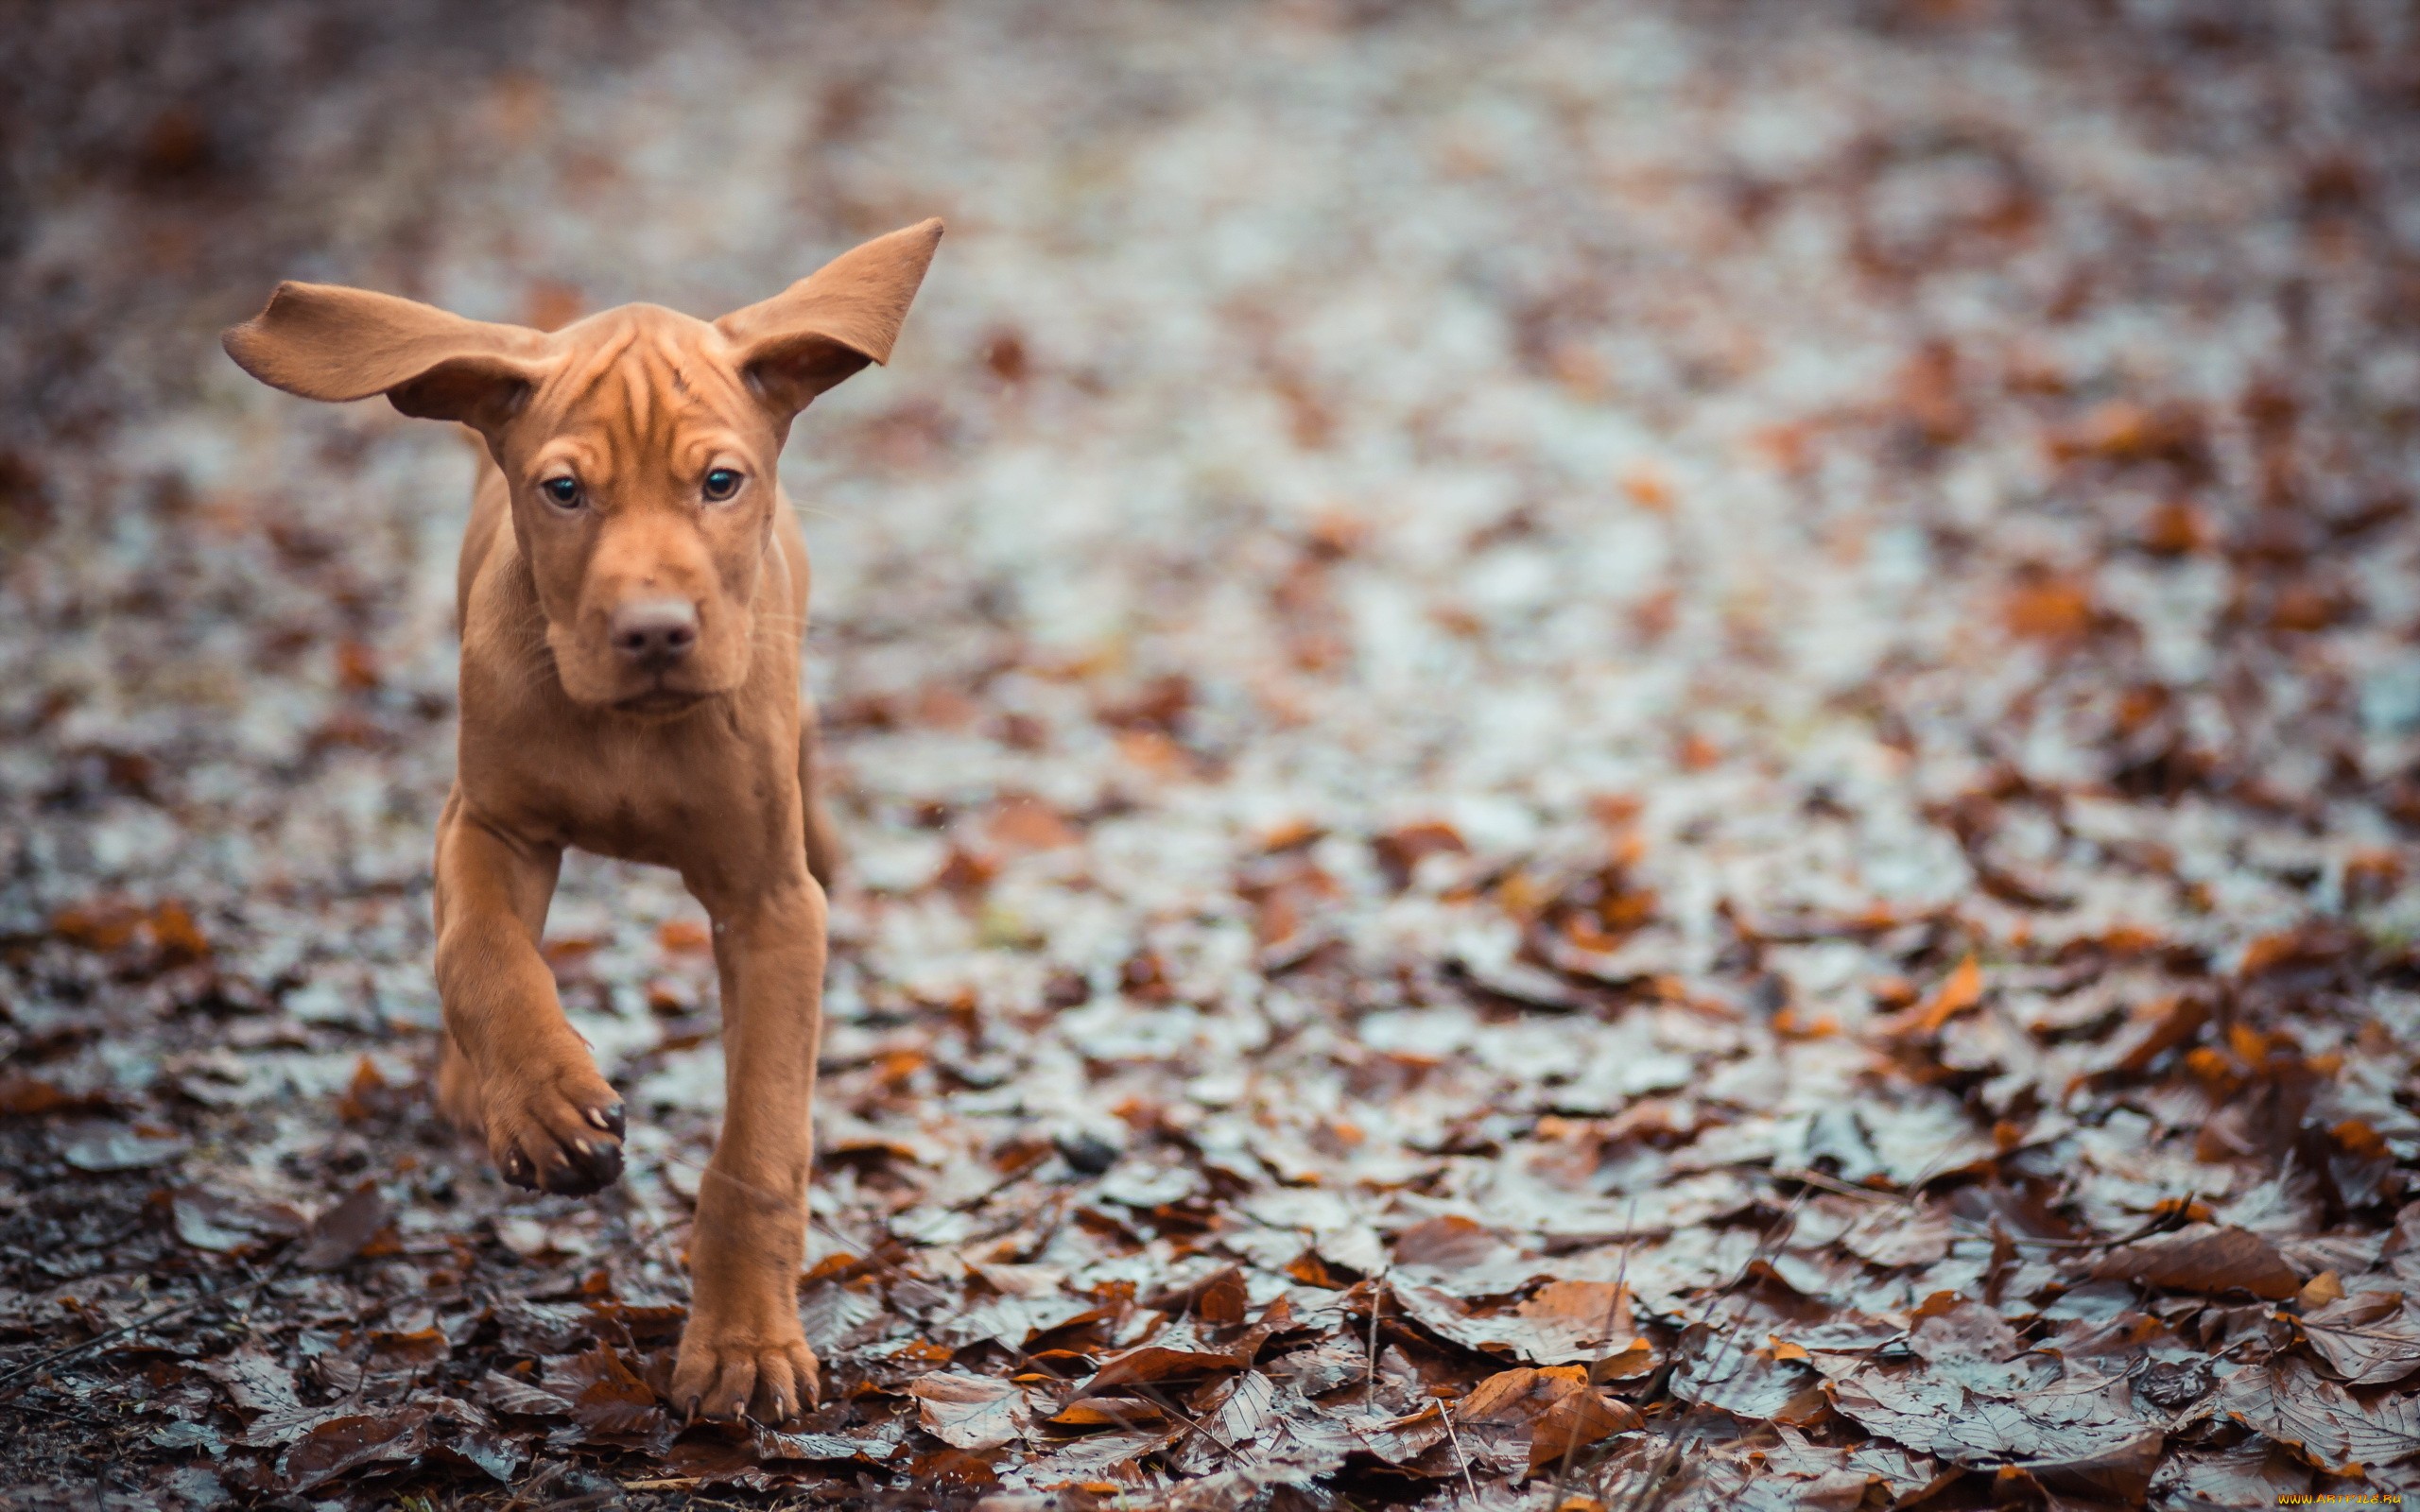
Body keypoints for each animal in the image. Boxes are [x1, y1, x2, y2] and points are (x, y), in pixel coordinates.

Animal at [225, 217, 943, 1422]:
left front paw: (744, 1347)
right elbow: (479, 953)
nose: (653, 631)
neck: (629, 733)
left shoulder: (769, 905)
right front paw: (543, 1101)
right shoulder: (489, 825)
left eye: (719, 482)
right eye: (563, 491)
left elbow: (758, 1144)